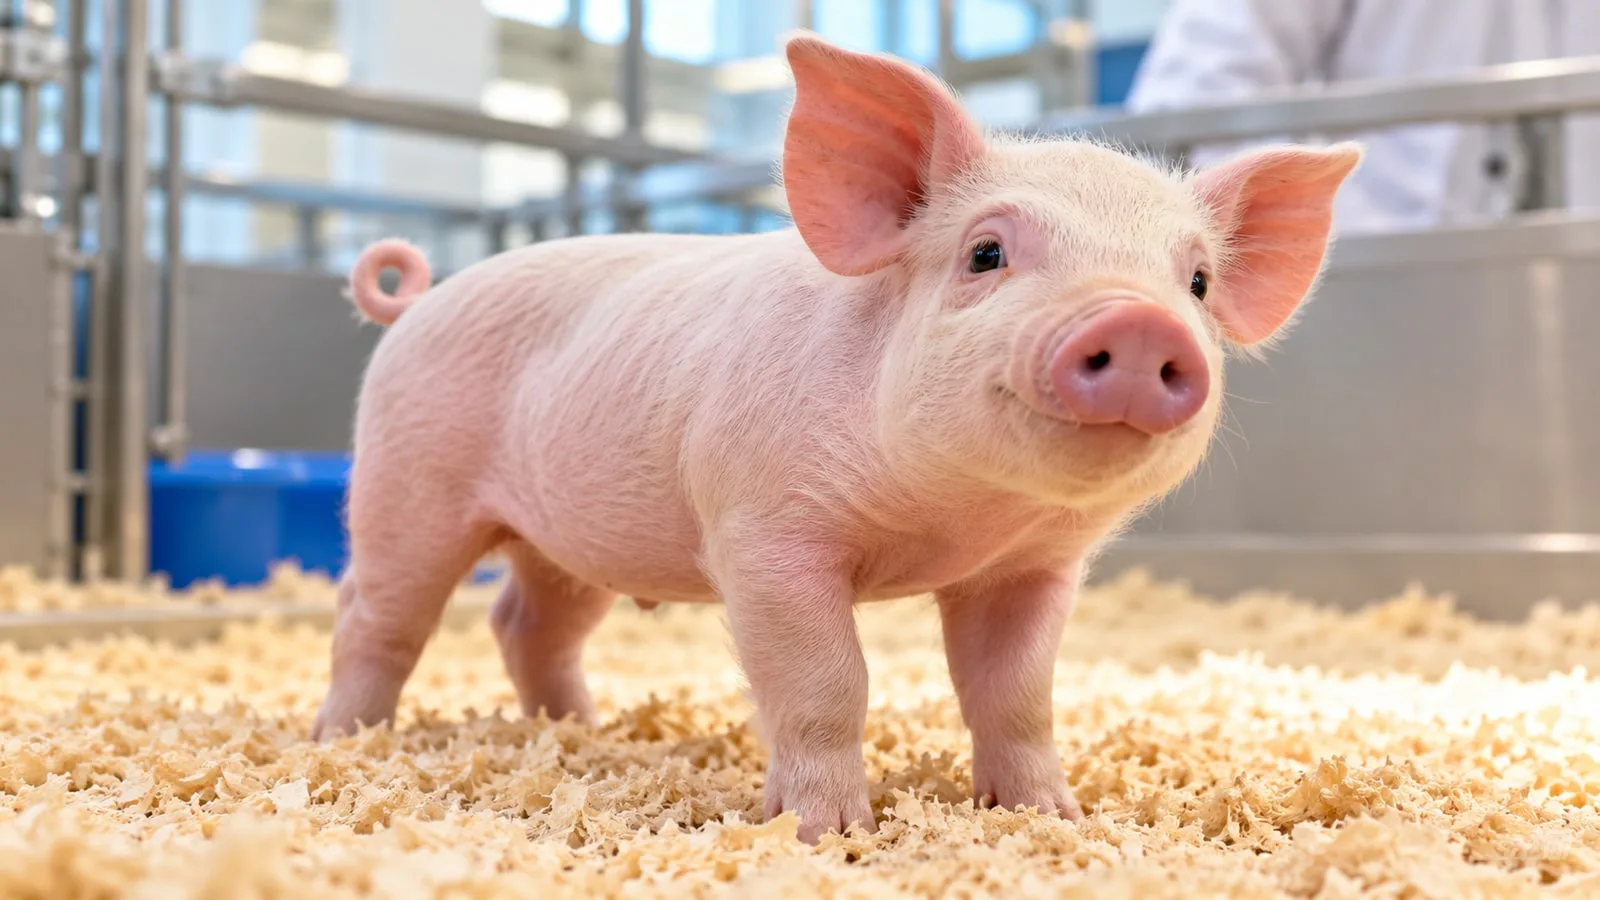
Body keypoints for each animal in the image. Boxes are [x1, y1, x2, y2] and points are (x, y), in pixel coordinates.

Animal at [312, 33, 1361, 844]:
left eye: (1196, 282)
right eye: (986, 252)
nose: (1141, 325)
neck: (956, 518)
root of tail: (420, 301)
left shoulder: (1031, 569)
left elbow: (1017, 693)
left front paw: (1051, 819)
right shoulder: (763, 532)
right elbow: (827, 682)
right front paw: (826, 833)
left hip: (566, 540)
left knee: (524, 623)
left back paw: (582, 730)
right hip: (408, 479)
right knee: (376, 615)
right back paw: (343, 742)